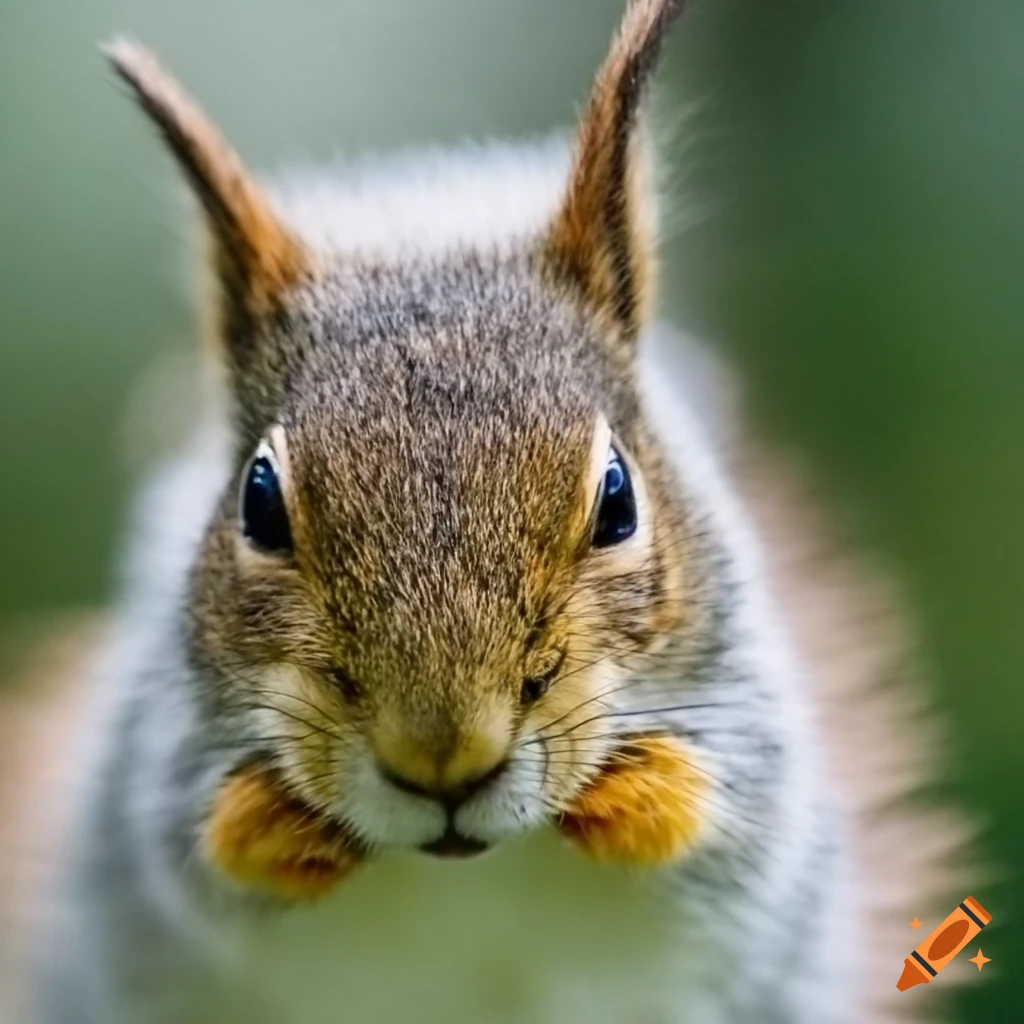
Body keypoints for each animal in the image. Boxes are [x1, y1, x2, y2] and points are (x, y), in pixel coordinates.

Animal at [0, 1, 972, 1022]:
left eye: (618, 499)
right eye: (258, 502)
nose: (445, 757)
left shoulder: (759, 740)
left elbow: (714, 810)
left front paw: (628, 791)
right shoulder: (148, 768)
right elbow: (203, 844)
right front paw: (283, 819)